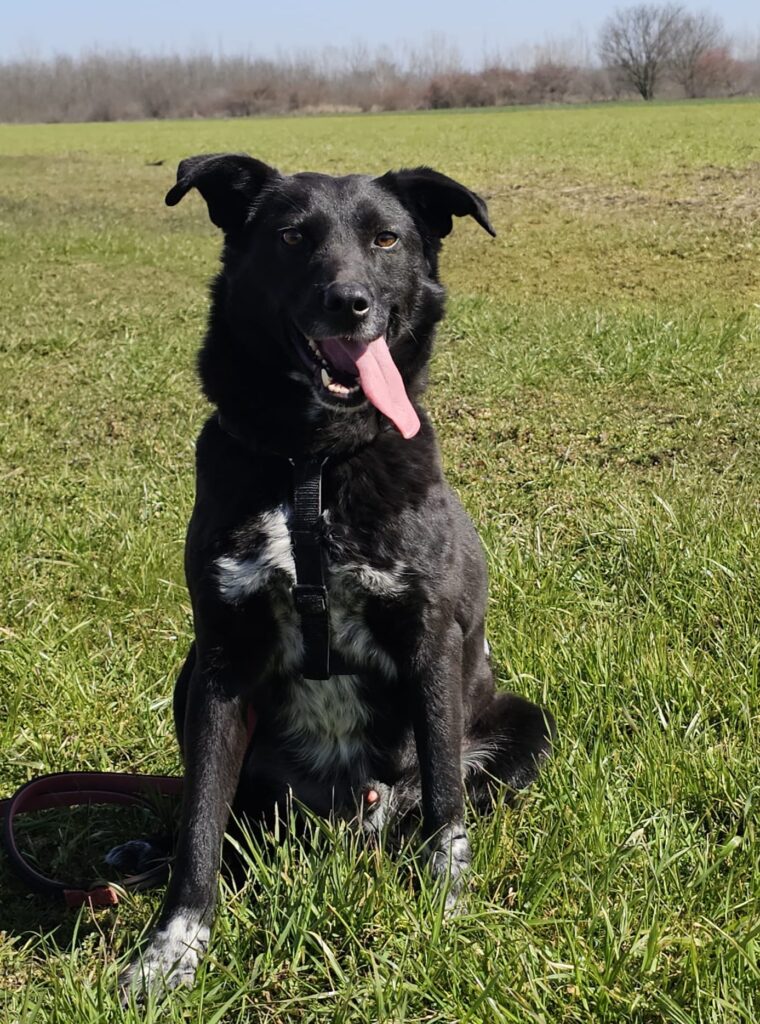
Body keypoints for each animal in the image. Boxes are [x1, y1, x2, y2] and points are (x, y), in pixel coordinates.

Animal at [116, 154, 554, 996]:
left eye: (386, 239)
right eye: (292, 237)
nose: (349, 305)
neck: (312, 466)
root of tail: (349, 814)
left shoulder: (429, 643)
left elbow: (446, 800)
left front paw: (448, 910)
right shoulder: (220, 663)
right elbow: (200, 821)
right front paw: (173, 947)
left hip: (526, 725)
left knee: (435, 799)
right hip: (189, 681)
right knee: (221, 818)